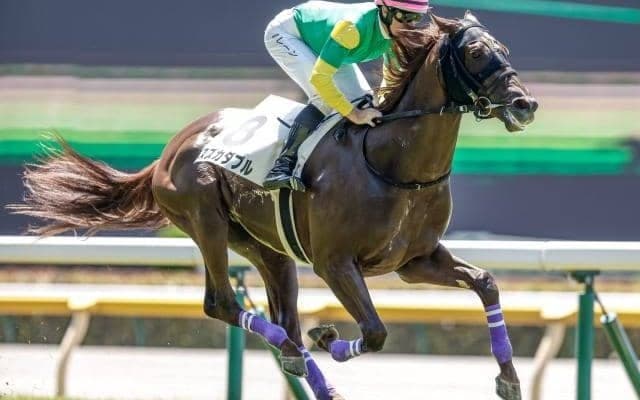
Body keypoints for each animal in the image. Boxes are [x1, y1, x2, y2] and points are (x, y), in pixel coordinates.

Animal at [10, 12, 537, 400]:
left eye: (506, 50)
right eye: (475, 53)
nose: (525, 104)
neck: (392, 162)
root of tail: (171, 147)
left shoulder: (414, 261)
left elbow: (486, 283)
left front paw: (509, 379)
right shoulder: (334, 263)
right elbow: (376, 331)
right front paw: (330, 339)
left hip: (267, 247)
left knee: (282, 314)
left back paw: (310, 372)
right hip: (206, 220)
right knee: (227, 305)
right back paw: (295, 350)